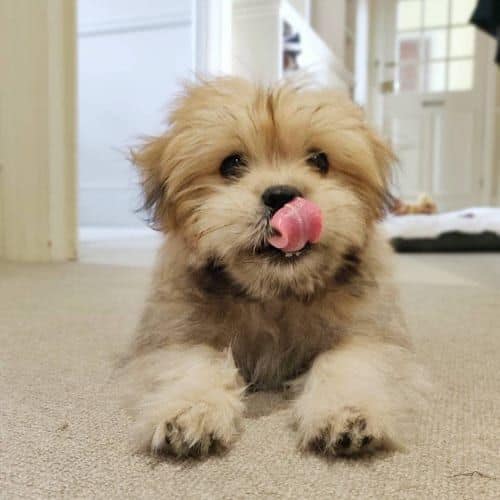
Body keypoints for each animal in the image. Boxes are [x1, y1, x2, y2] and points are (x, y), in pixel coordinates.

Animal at [120, 77, 426, 458]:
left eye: (320, 160)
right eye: (231, 164)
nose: (282, 195)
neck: (276, 293)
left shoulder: (371, 334)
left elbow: (347, 361)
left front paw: (347, 410)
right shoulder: (173, 335)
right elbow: (195, 360)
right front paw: (191, 408)